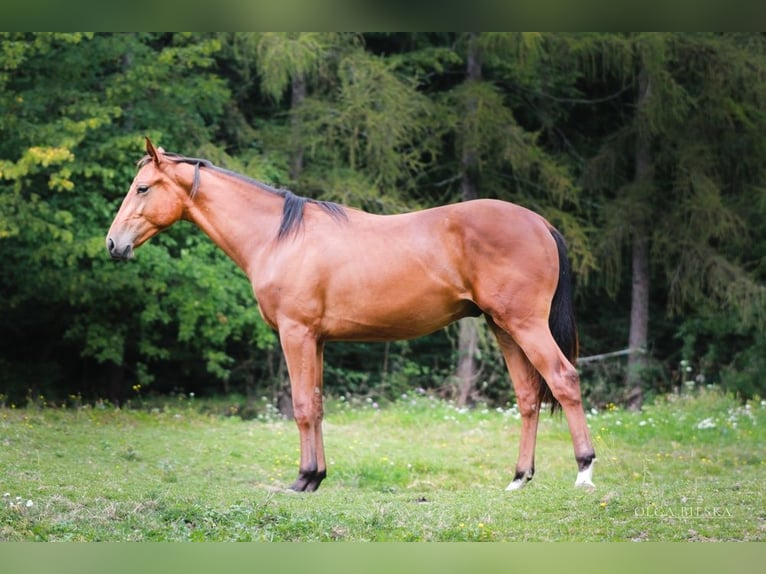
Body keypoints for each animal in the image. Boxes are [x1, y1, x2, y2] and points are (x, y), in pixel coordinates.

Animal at [106, 138, 596, 492]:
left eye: (142, 188)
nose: (113, 244)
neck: (279, 237)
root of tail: (540, 223)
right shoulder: (317, 340)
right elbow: (319, 404)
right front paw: (317, 477)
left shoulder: (296, 334)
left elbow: (303, 406)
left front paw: (302, 479)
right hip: (503, 327)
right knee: (529, 396)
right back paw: (519, 479)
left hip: (524, 325)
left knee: (564, 380)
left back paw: (584, 472)